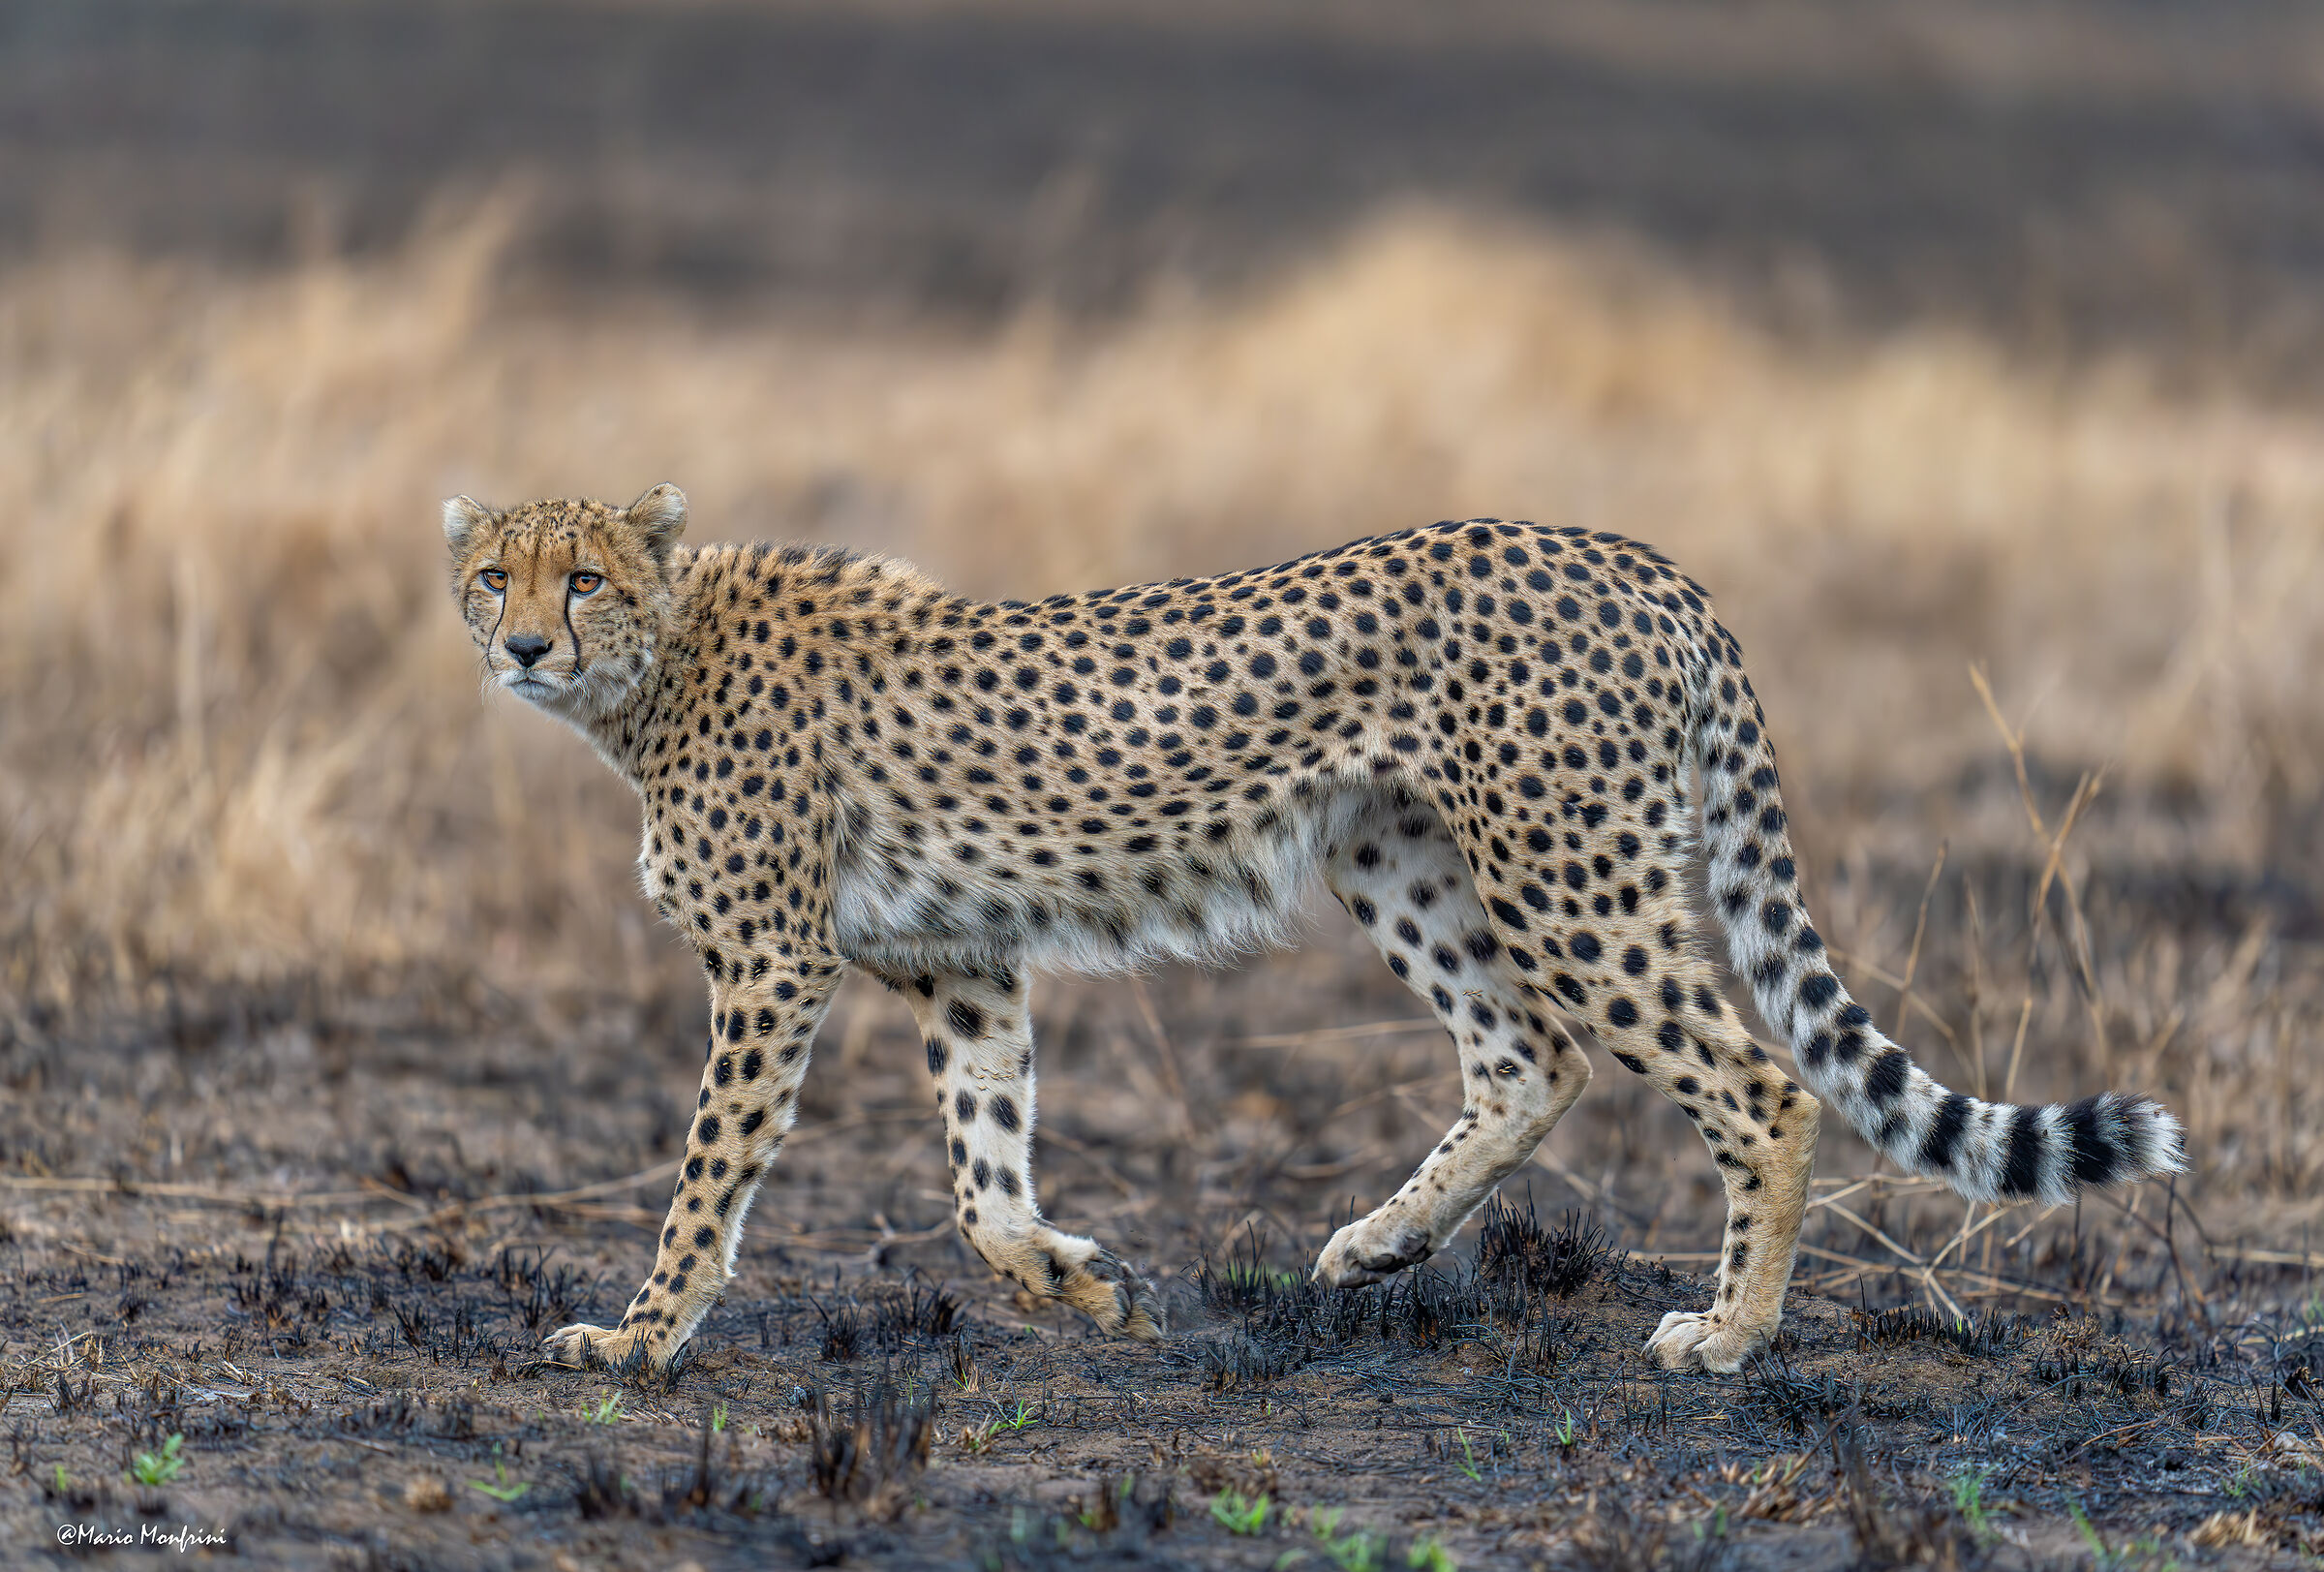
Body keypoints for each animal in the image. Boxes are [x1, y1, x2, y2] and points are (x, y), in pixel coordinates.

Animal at [442, 483, 2185, 1376]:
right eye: (488, 575)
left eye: (581, 577)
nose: (519, 645)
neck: (656, 666)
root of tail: (1629, 550)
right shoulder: (963, 961)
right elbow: (983, 1180)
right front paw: (1082, 1282)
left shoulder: (772, 966)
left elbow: (710, 1173)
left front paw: (638, 1335)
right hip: (1397, 857)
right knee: (1531, 1055)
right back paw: (1380, 1240)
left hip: (1569, 873)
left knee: (1755, 1083)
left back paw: (1730, 1330)